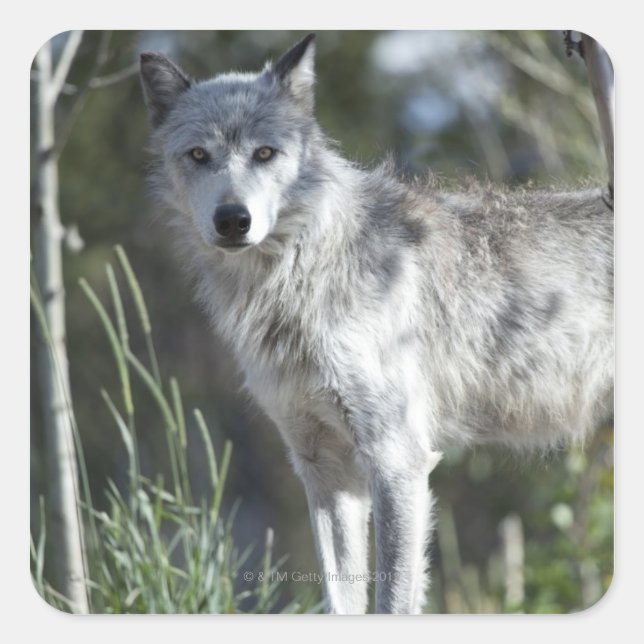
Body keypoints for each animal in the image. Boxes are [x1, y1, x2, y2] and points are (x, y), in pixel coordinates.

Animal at [139, 33, 614, 614]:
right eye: (199, 156)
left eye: (265, 153)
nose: (233, 220)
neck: (299, 280)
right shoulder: (324, 468)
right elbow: (340, 597)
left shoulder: (397, 461)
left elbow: (392, 599)